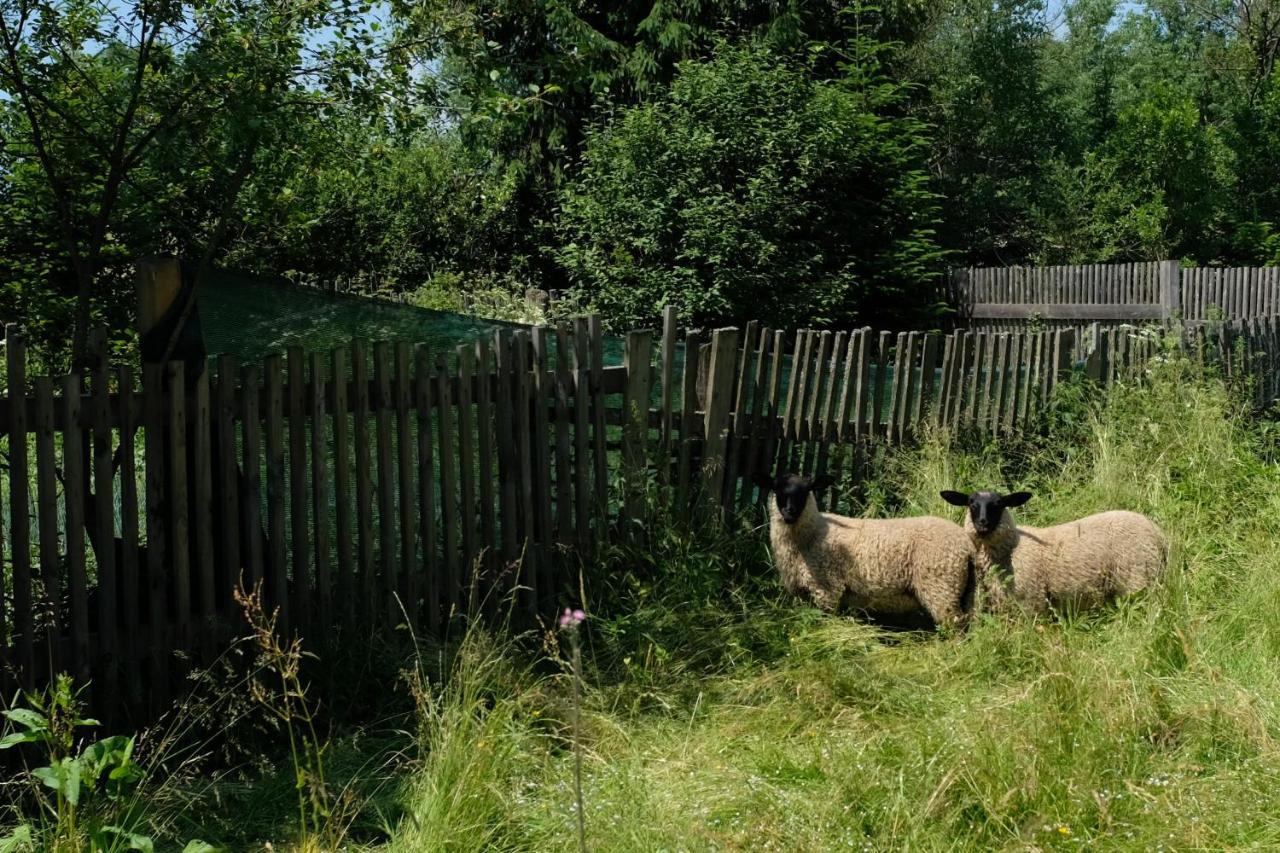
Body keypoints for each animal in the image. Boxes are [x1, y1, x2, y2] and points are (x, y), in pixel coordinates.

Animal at [752, 471, 972, 625]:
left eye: (806, 491)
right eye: (777, 489)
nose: (790, 512)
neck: (813, 533)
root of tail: (965, 542)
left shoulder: (827, 589)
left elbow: (826, 621)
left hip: (941, 586)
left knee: (956, 624)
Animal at [942, 484, 1172, 612]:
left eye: (998, 504)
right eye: (971, 503)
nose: (982, 523)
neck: (1012, 547)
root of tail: (1159, 534)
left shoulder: (1031, 600)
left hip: (1138, 578)